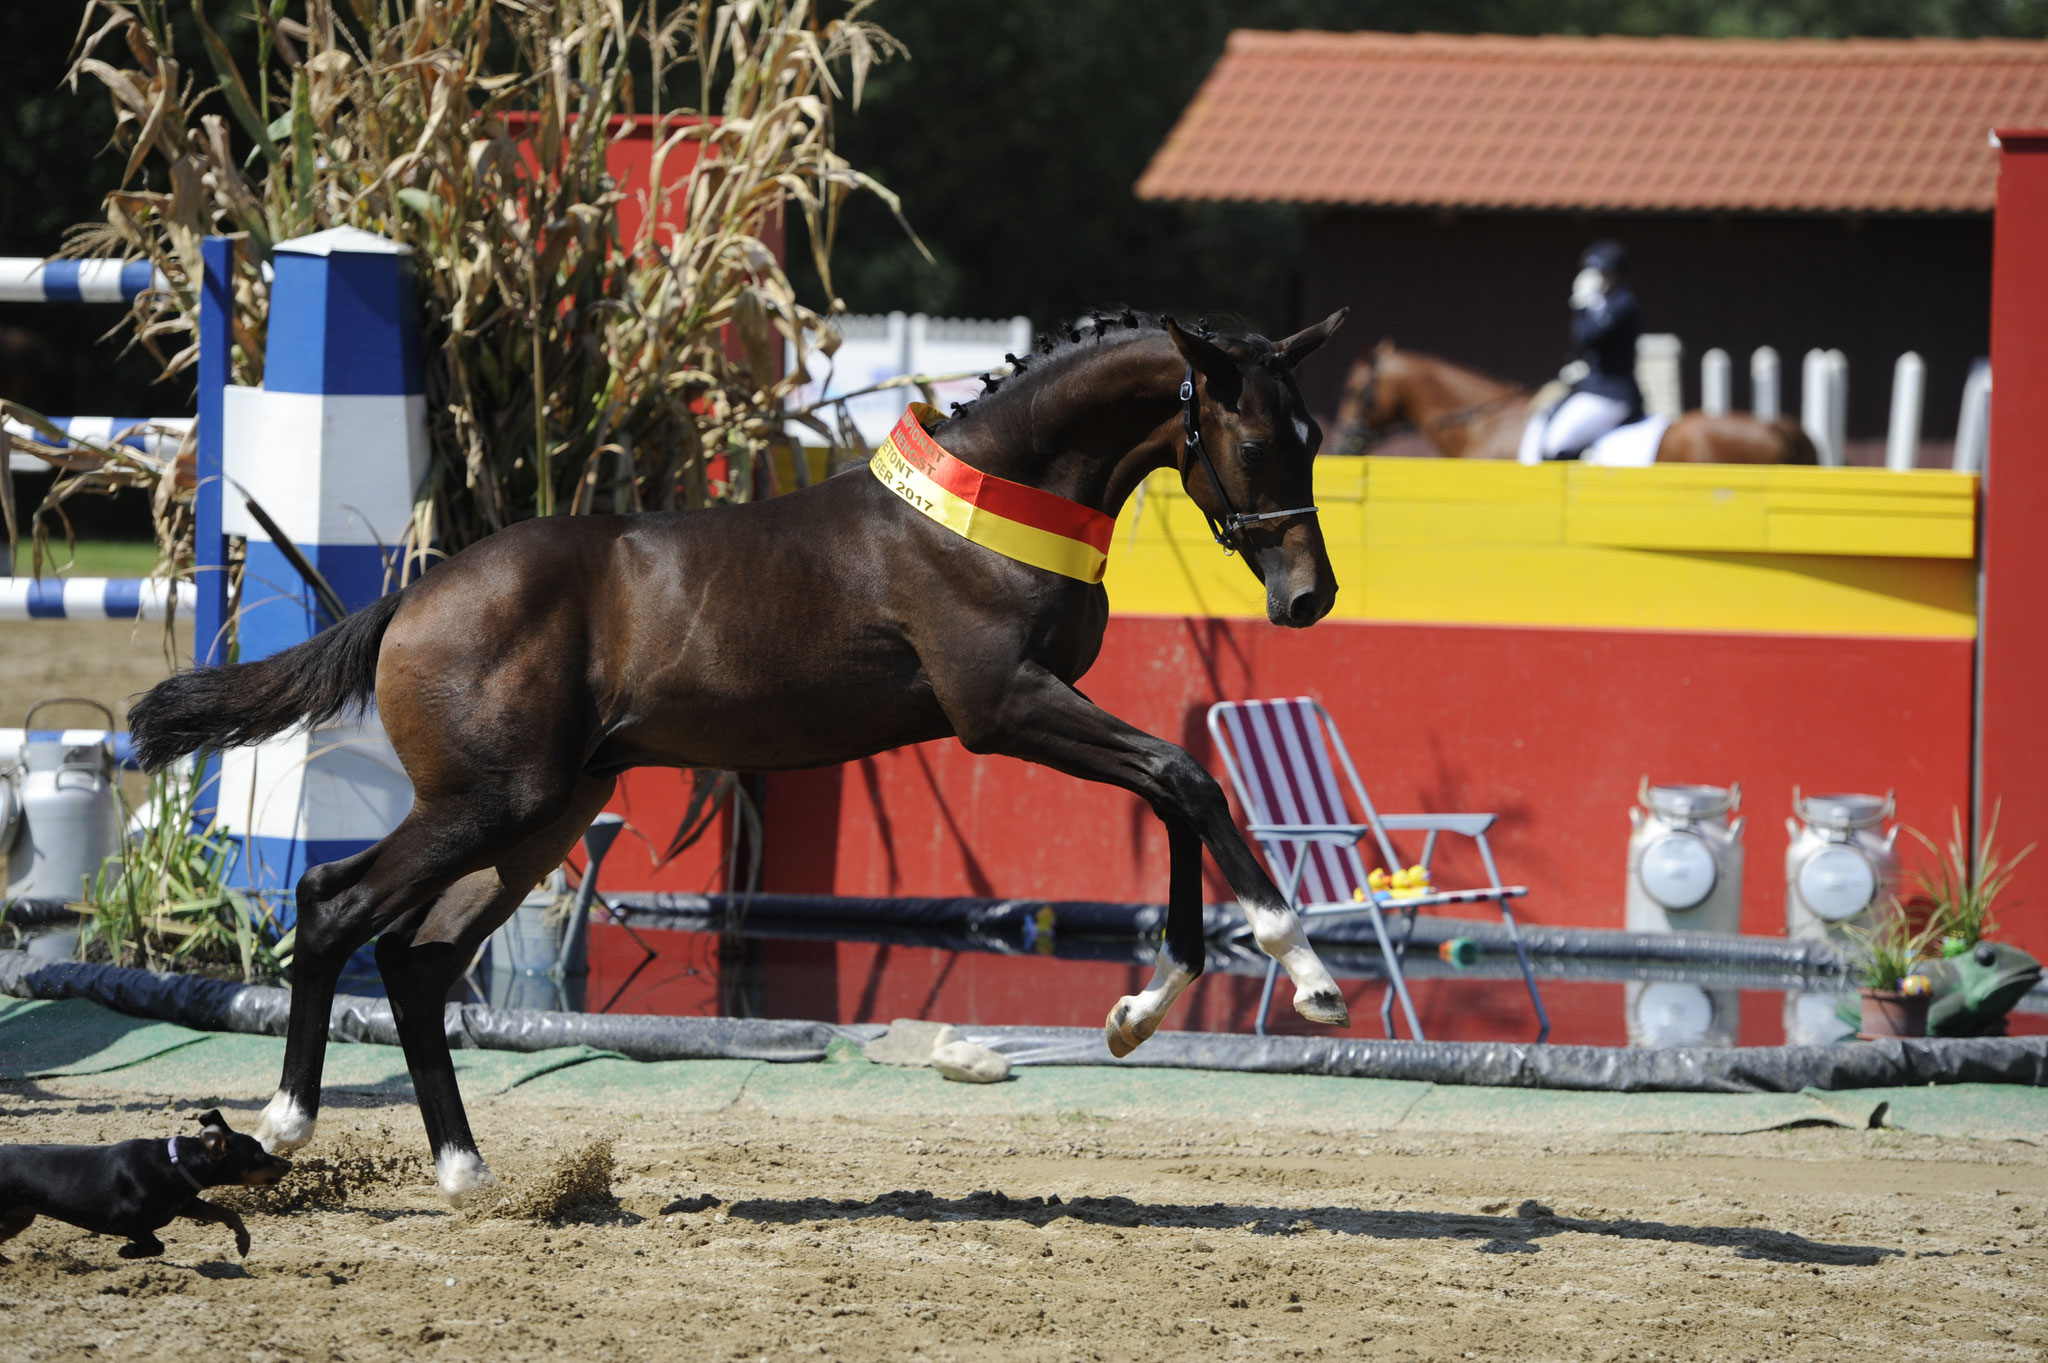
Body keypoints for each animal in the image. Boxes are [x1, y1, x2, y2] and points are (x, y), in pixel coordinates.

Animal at [0, 1113, 292, 1260]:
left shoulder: (183, 1204)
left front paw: (243, 1242)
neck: (174, 1163)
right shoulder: (125, 1222)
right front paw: (129, 1252)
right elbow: (156, 1245)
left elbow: (227, 1212)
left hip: (20, 1217)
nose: (288, 1164)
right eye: (258, 1155)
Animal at [136, 306, 1368, 1203]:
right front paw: (1304, 973)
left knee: (417, 959)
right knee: (335, 903)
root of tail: (409, 602)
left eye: (1313, 439)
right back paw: (288, 1122)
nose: (1308, 597)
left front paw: (1139, 1010)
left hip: (541, 816)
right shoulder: (1004, 708)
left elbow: (1172, 788)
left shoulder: (1045, 709)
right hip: (488, 804)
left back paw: (466, 1170)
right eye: (1255, 442)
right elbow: (1187, 776)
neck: (987, 509)